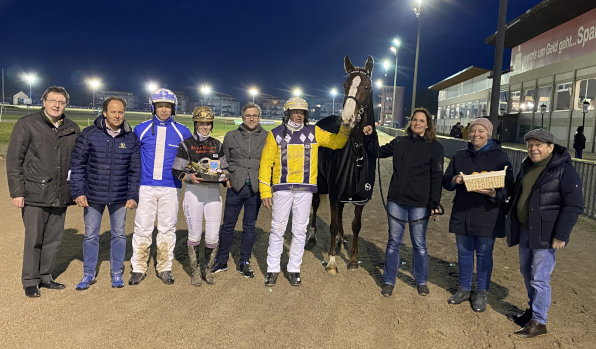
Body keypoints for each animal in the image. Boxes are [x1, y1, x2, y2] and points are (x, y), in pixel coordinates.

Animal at [308, 54, 378, 274]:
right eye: (345, 85)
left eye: (366, 86)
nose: (347, 118)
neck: (356, 150)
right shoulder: (334, 191)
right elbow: (331, 223)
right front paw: (331, 262)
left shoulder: (359, 196)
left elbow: (356, 225)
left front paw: (353, 260)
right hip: (321, 183)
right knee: (316, 206)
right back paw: (312, 237)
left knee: (339, 215)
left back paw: (340, 239)